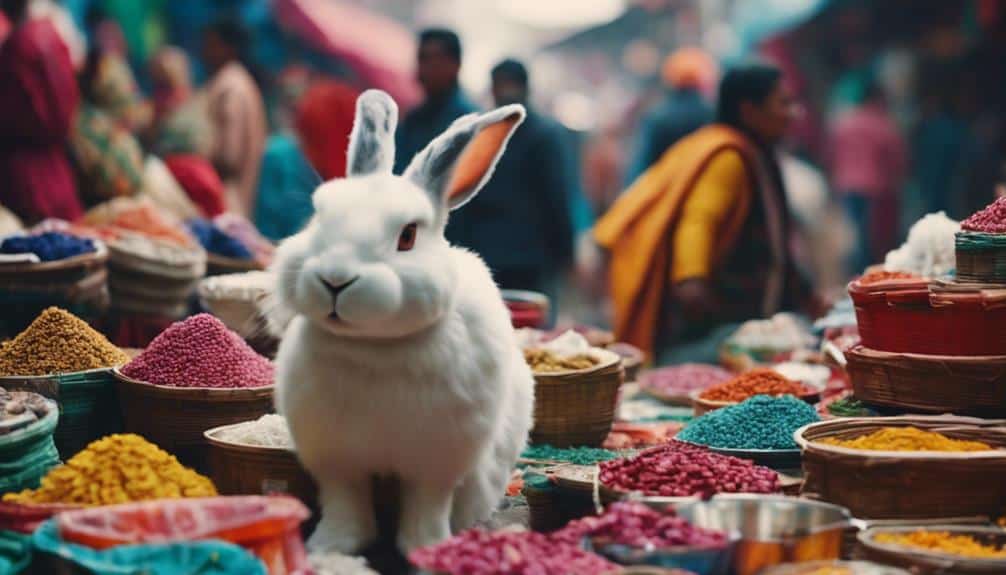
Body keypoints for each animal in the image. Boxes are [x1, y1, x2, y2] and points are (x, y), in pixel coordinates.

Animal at [269, 89, 535, 556]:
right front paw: (330, 547)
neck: (375, 346)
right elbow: (345, 504)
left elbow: (426, 507)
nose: (335, 279)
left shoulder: (437, 464)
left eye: (407, 236)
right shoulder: (337, 460)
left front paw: (426, 549)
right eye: (319, 219)